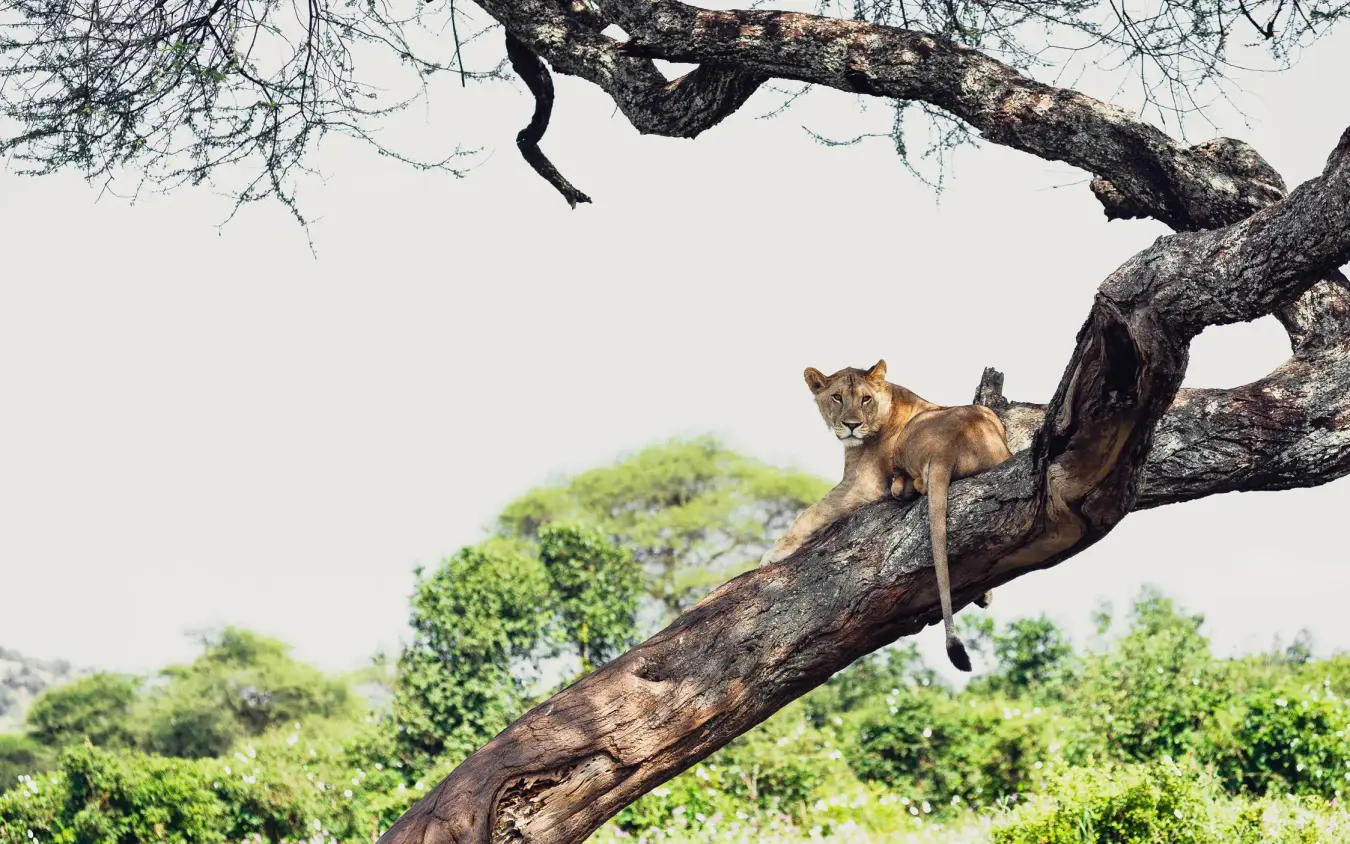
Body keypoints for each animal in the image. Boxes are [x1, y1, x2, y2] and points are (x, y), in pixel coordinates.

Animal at [760, 360, 1011, 671]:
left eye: (865, 398)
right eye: (837, 397)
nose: (852, 426)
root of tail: (949, 446)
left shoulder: (862, 485)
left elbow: (811, 512)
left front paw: (774, 552)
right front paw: (985, 594)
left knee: (911, 486)